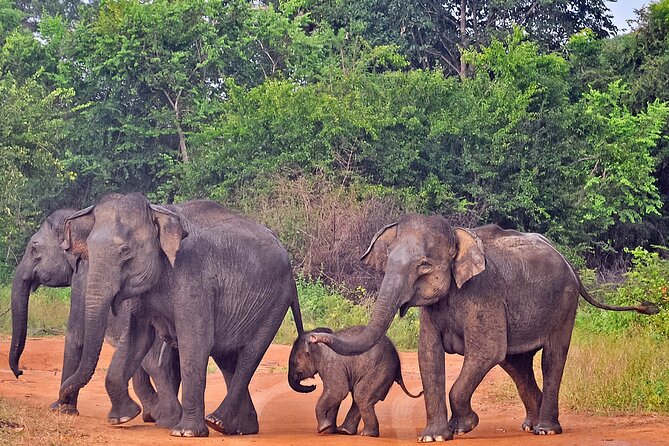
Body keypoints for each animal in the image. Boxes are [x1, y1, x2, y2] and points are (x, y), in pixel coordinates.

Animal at [8, 209, 180, 426]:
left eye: (34, 248)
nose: (20, 372)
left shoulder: (83, 278)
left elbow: (75, 337)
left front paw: (61, 409)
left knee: (155, 365)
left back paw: (163, 417)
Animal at [57, 193, 302, 438]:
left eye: (125, 251)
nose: (61, 404)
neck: (158, 212)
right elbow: (137, 340)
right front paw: (122, 417)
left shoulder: (193, 278)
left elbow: (194, 342)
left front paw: (185, 432)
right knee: (227, 357)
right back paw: (238, 428)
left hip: (275, 303)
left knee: (248, 356)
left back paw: (217, 421)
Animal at [288, 326, 422, 438]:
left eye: (295, 364)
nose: (313, 386)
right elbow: (335, 396)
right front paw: (328, 430)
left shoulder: (331, 364)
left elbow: (338, 391)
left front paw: (323, 429)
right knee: (359, 397)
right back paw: (345, 431)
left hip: (380, 370)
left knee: (361, 396)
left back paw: (366, 434)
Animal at [310, 216, 656, 442]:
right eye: (387, 263)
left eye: (424, 266)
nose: (314, 336)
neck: (457, 235)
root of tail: (567, 261)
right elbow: (428, 356)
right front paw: (434, 437)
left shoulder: (483, 293)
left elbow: (485, 351)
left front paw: (463, 426)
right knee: (516, 365)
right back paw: (529, 425)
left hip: (564, 303)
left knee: (551, 358)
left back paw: (545, 429)